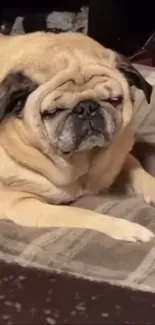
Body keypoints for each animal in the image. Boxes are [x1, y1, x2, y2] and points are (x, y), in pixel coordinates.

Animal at [0, 31, 154, 243]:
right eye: (53, 111)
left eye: (114, 100)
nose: (86, 107)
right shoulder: (22, 204)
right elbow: (83, 215)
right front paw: (128, 229)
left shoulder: (120, 159)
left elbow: (140, 173)